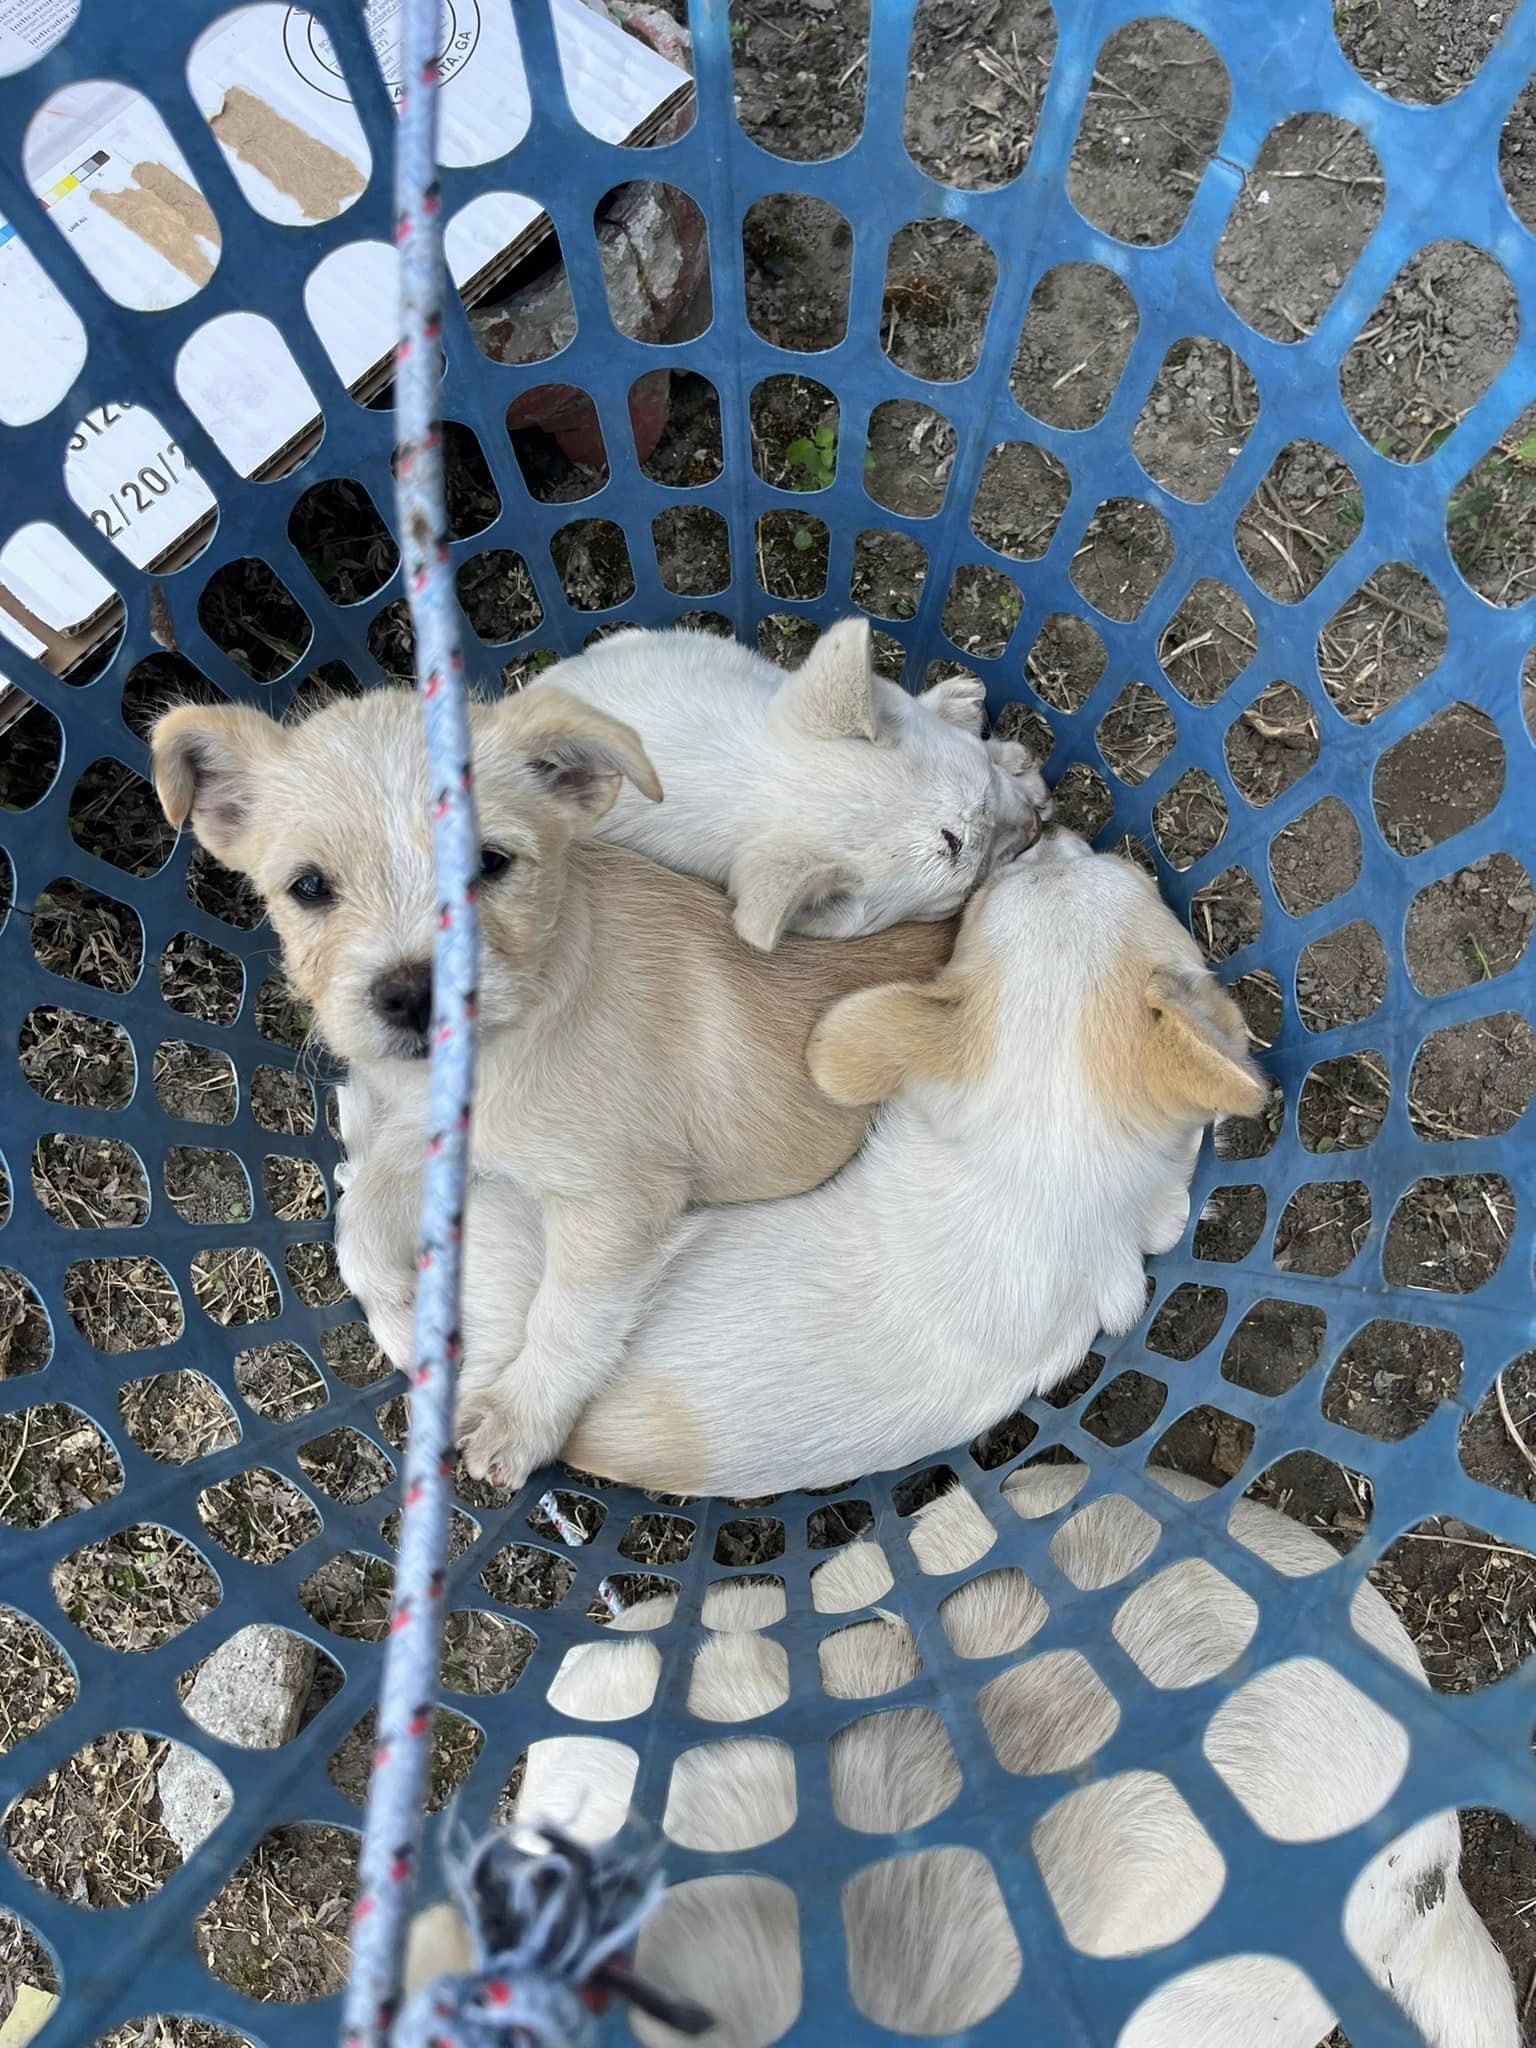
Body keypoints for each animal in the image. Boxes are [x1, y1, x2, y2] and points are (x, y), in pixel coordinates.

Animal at [150, 688, 958, 1490]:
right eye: (310, 887)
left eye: (490, 862)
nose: (416, 996)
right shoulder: (429, 1134)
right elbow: (361, 1225)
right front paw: (411, 1325)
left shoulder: (620, 1202)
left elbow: (567, 1315)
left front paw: (517, 1419)